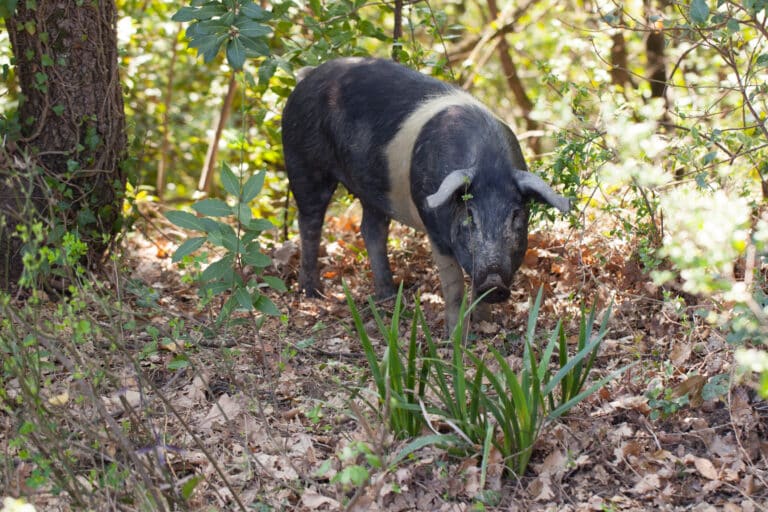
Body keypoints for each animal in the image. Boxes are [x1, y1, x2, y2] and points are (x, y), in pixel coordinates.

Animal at [282, 58, 568, 334]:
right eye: (470, 215)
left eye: (516, 215)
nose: (494, 281)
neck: (489, 164)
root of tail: (308, 75)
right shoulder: (434, 227)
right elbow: (454, 285)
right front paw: (455, 337)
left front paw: (486, 325)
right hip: (303, 162)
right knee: (309, 222)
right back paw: (313, 293)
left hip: (372, 190)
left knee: (371, 229)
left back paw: (387, 296)